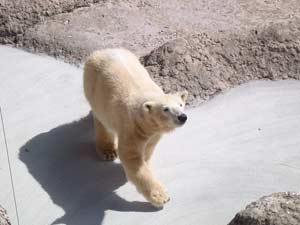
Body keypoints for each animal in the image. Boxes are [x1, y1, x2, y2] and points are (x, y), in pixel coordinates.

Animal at [83, 48, 189, 207]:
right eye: (166, 109)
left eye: (180, 104)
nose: (182, 117)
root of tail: (102, 51)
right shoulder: (132, 127)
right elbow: (132, 157)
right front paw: (161, 197)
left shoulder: (153, 134)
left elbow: (147, 151)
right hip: (95, 88)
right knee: (102, 121)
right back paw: (108, 151)